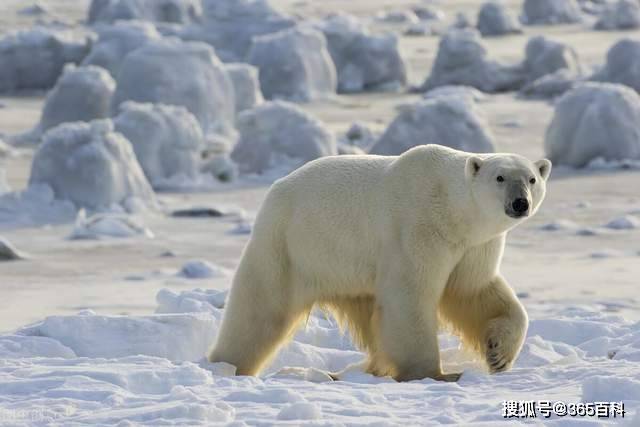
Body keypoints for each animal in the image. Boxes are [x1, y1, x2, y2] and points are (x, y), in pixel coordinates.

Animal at [210, 144, 552, 382]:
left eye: (532, 179)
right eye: (500, 177)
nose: (520, 202)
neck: (452, 208)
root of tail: (274, 191)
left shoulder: (473, 246)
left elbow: (474, 291)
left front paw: (498, 355)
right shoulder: (418, 229)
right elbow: (410, 296)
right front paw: (436, 373)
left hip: (346, 271)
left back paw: (369, 368)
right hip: (291, 247)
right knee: (260, 310)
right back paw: (227, 365)